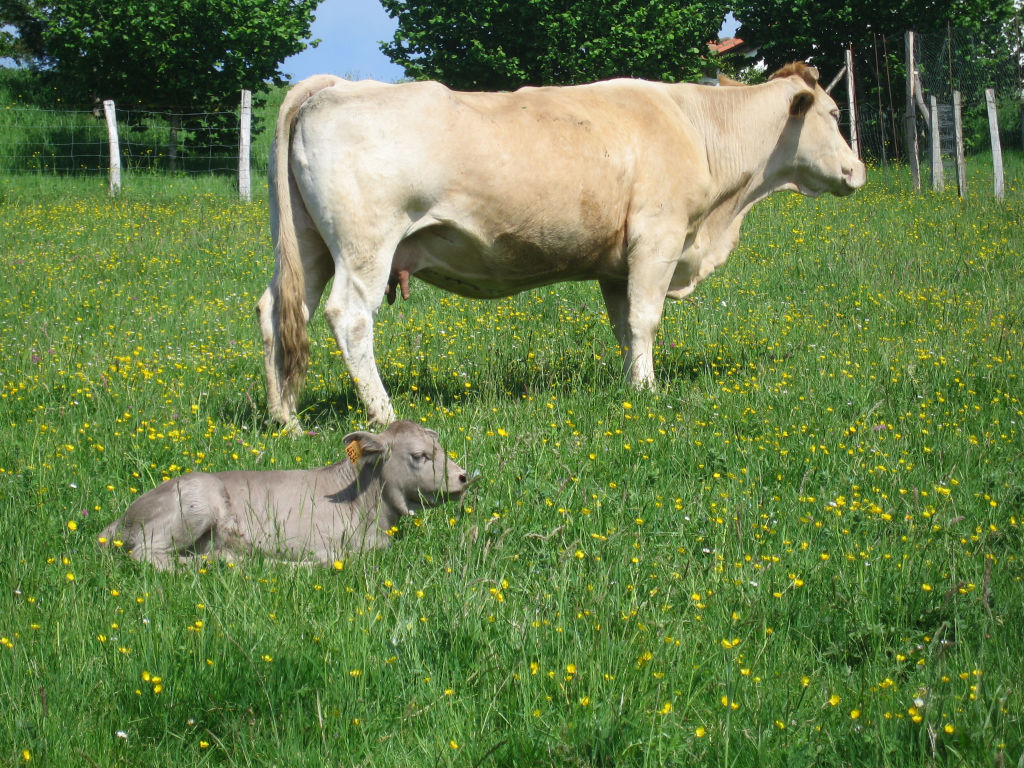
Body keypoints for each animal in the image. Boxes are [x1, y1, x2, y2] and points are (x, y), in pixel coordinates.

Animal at [97, 420, 471, 569]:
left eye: (440, 447)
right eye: (420, 455)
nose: (464, 477)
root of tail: (120, 519)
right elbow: (328, 560)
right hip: (194, 507)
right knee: (147, 556)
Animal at [257, 63, 866, 430]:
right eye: (836, 114)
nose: (858, 169)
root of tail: (337, 84)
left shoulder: (617, 264)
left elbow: (624, 326)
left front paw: (631, 383)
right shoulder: (659, 236)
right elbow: (646, 319)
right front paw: (650, 391)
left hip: (309, 248)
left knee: (279, 312)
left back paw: (287, 418)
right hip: (364, 246)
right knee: (349, 317)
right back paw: (384, 416)